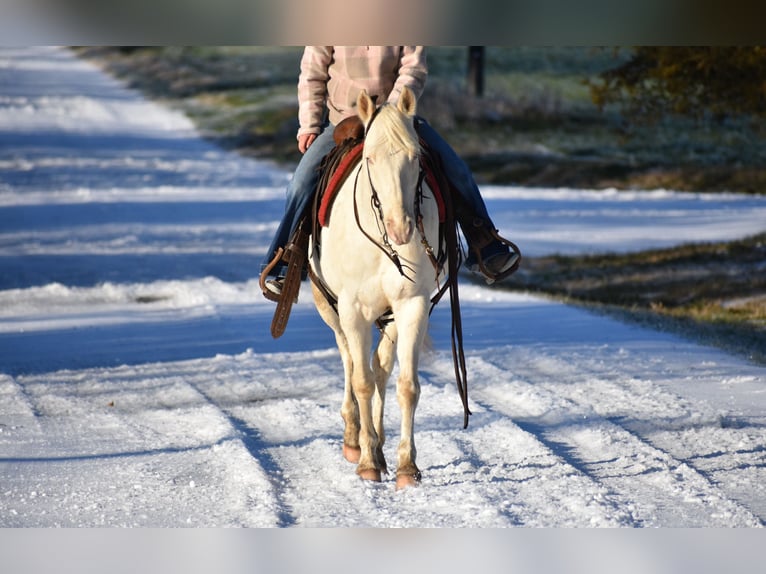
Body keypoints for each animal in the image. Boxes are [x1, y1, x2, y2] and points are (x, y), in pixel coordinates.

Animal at [309, 86, 444, 489]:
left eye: (416, 157)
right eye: (369, 158)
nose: (401, 228)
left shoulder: (412, 306)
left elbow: (406, 385)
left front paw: (406, 466)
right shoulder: (351, 310)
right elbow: (362, 381)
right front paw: (368, 459)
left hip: (389, 317)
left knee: (379, 366)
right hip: (331, 308)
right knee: (350, 362)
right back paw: (355, 438)